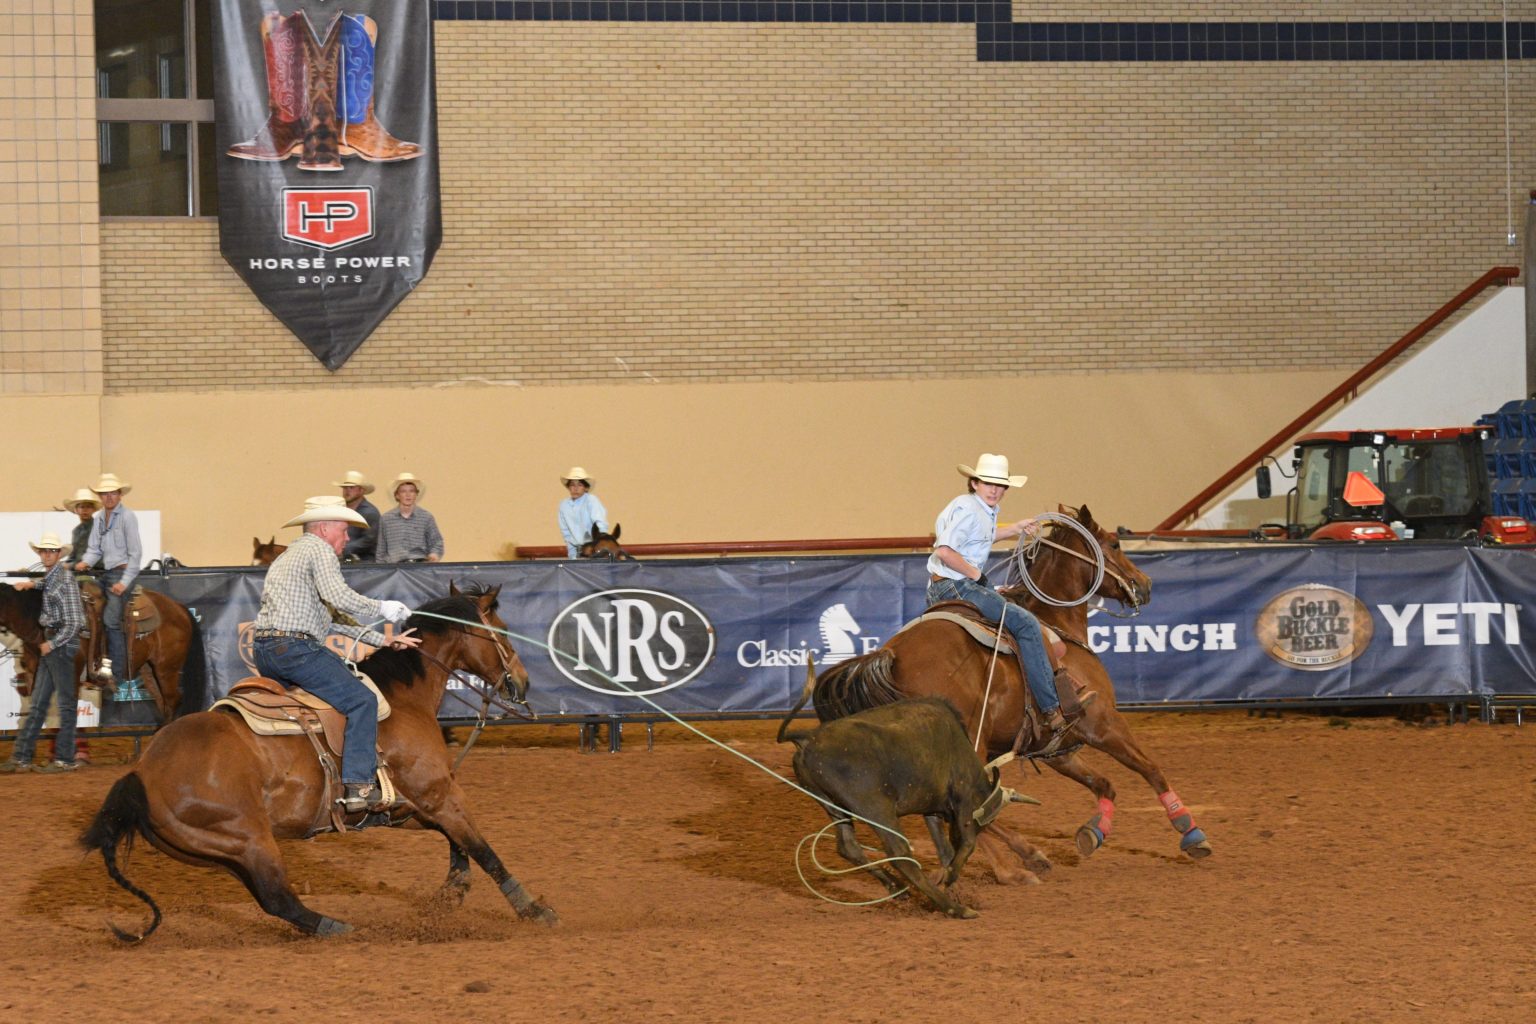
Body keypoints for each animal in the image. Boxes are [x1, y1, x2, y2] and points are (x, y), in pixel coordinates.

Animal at [79, 580, 559, 939]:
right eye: (503, 631)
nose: (523, 682)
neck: (403, 697)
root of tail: (142, 773)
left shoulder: (409, 807)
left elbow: (457, 842)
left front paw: (450, 895)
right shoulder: (437, 792)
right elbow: (481, 847)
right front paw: (534, 910)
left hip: (219, 850)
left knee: (272, 899)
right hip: (248, 837)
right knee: (279, 898)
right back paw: (342, 928)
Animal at [817, 509, 1210, 884]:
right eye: (1114, 544)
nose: (1145, 584)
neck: (1057, 626)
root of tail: (892, 655)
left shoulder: (1058, 749)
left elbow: (1105, 784)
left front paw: (1094, 832)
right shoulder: (1103, 724)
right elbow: (1150, 769)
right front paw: (1190, 833)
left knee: (949, 812)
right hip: (970, 744)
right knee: (969, 810)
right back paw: (1015, 868)